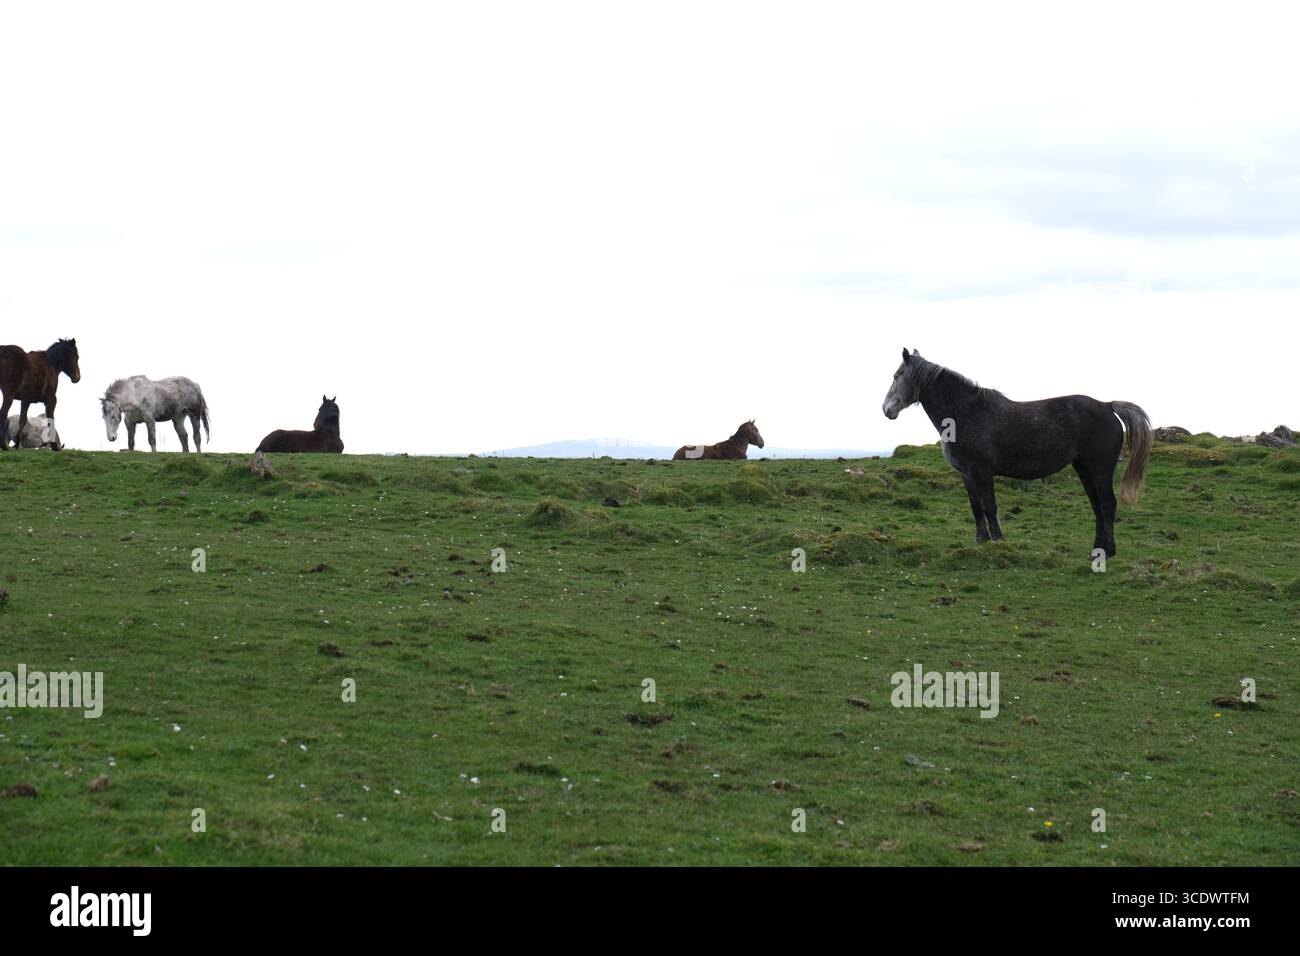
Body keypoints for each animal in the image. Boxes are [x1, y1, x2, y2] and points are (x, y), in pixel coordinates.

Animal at [881, 349, 1152, 557]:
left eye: (897, 376)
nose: (886, 409)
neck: (965, 413)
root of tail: (1107, 406)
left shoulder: (981, 471)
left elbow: (989, 506)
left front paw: (999, 541)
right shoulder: (967, 474)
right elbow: (976, 506)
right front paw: (982, 541)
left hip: (1100, 469)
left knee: (1107, 504)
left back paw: (1108, 550)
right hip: (1084, 468)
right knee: (1097, 505)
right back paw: (1097, 548)